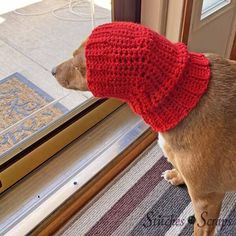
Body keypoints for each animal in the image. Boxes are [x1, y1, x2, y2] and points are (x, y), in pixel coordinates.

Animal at [52, 36, 236, 235]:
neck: (180, 95)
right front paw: (176, 176)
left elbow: (200, 228)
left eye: (79, 68)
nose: (52, 71)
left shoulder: (207, 200)